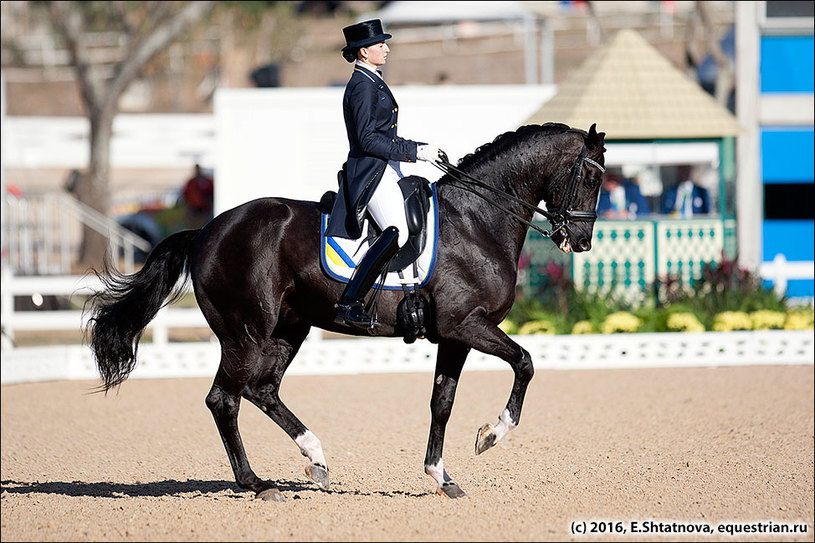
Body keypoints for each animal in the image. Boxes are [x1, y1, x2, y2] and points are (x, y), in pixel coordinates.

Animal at [86, 122, 604, 502]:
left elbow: (442, 402)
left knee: (261, 390)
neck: (478, 221)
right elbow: (525, 363)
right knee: (224, 400)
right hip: (245, 332)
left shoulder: (454, 336)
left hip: (287, 330)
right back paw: (257, 484)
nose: (580, 241)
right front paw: (492, 435)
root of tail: (208, 230)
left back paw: (316, 460)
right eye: (593, 177)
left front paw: (441, 477)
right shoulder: (467, 325)